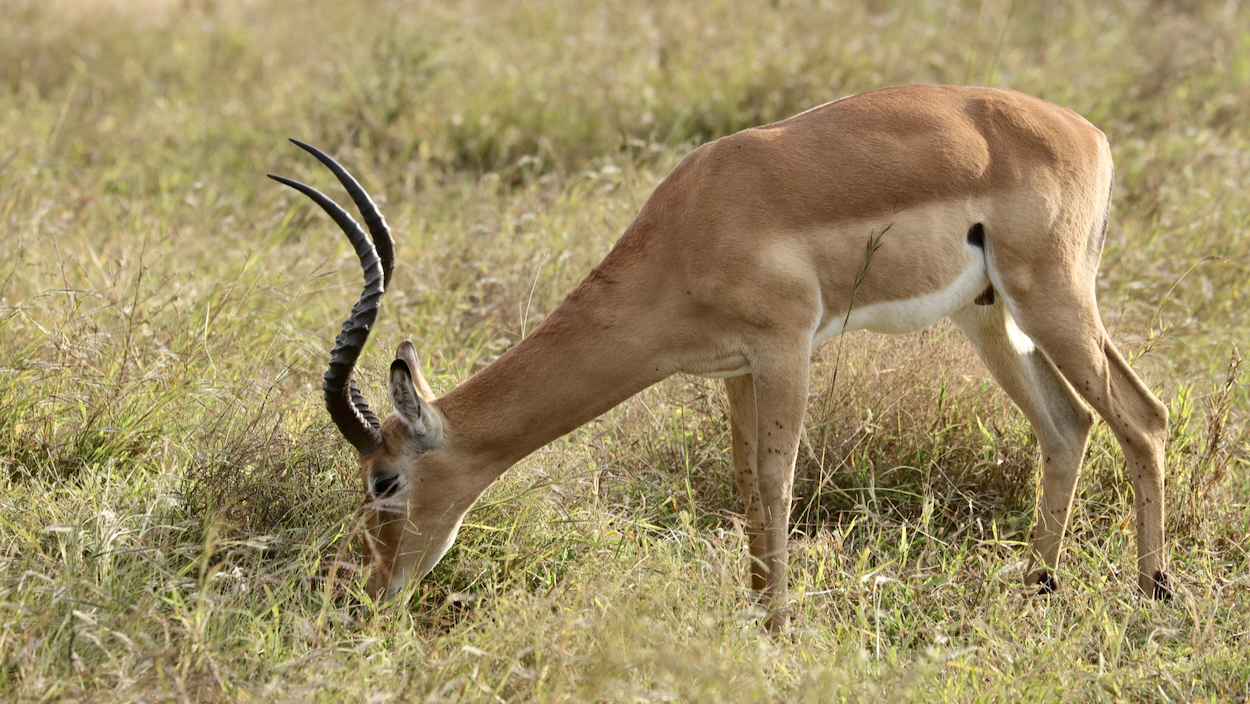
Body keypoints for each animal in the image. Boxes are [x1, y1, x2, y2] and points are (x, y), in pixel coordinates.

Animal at [271, 83, 1170, 632]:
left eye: (385, 480)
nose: (361, 591)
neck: (691, 227)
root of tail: (1087, 132)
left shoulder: (785, 351)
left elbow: (775, 484)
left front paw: (778, 627)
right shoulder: (735, 372)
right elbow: (743, 486)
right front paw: (754, 613)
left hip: (1053, 297)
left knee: (1144, 417)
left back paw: (1152, 598)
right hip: (990, 317)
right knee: (1067, 425)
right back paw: (1037, 589)